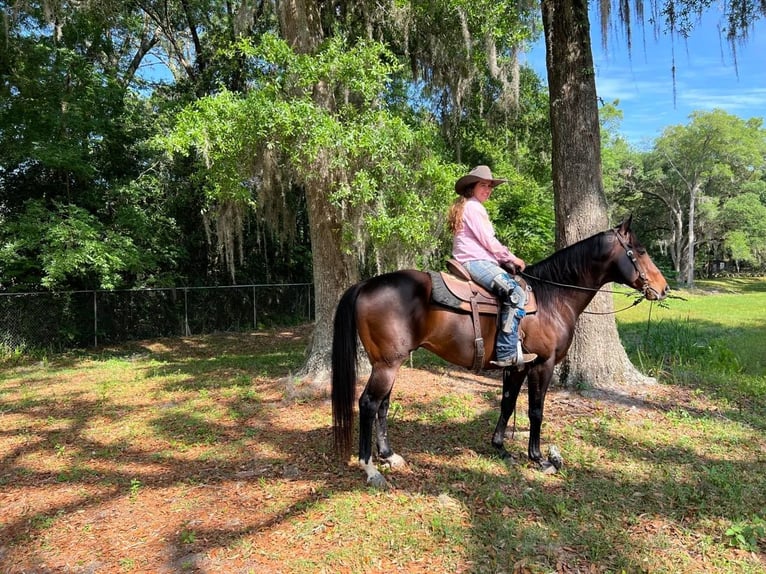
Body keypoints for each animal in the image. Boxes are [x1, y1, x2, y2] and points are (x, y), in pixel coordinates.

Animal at [332, 218, 668, 488]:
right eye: (639, 250)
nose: (663, 288)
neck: (552, 298)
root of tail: (365, 284)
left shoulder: (517, 366)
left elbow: (507, 404)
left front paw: (500, 447)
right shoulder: (542, 365)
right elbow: (535, 410)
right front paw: (538, 458)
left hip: (388, 363)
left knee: (383, 405)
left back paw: (389, 456)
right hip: (387, 365)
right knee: (368, 403)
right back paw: (370, 468)